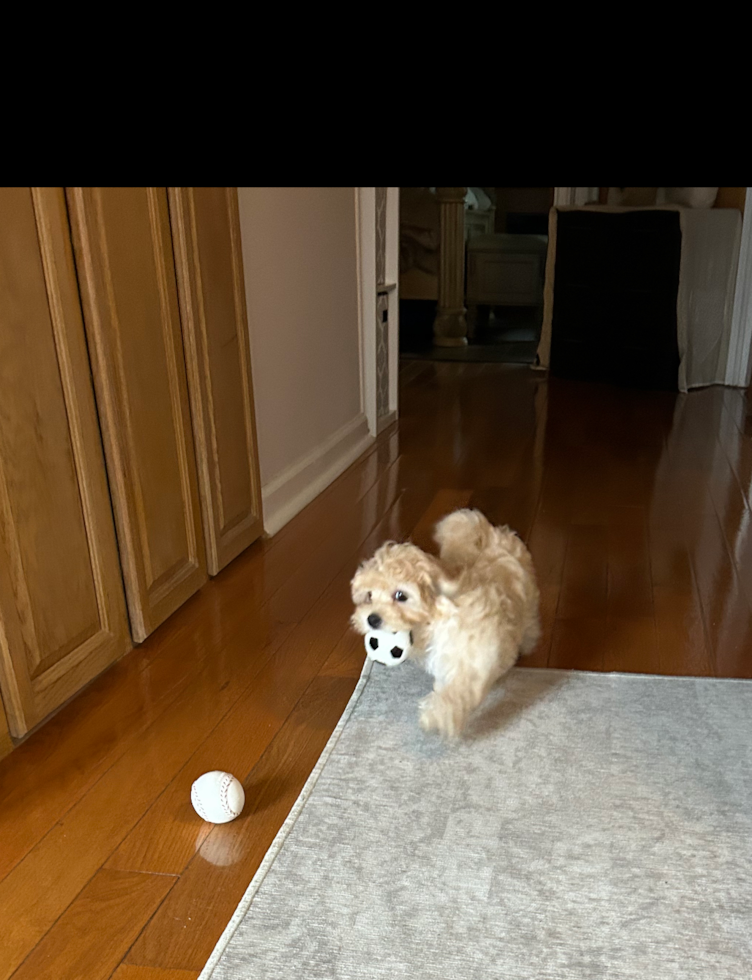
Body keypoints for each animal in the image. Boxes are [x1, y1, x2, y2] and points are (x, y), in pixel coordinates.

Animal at [350, 512, 536, 736]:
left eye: (401, 595)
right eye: (369, 596)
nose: (372, 619)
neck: (434, 621)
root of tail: (491, 535)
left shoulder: (473, 656)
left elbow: (458, 690)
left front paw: (438, 715)